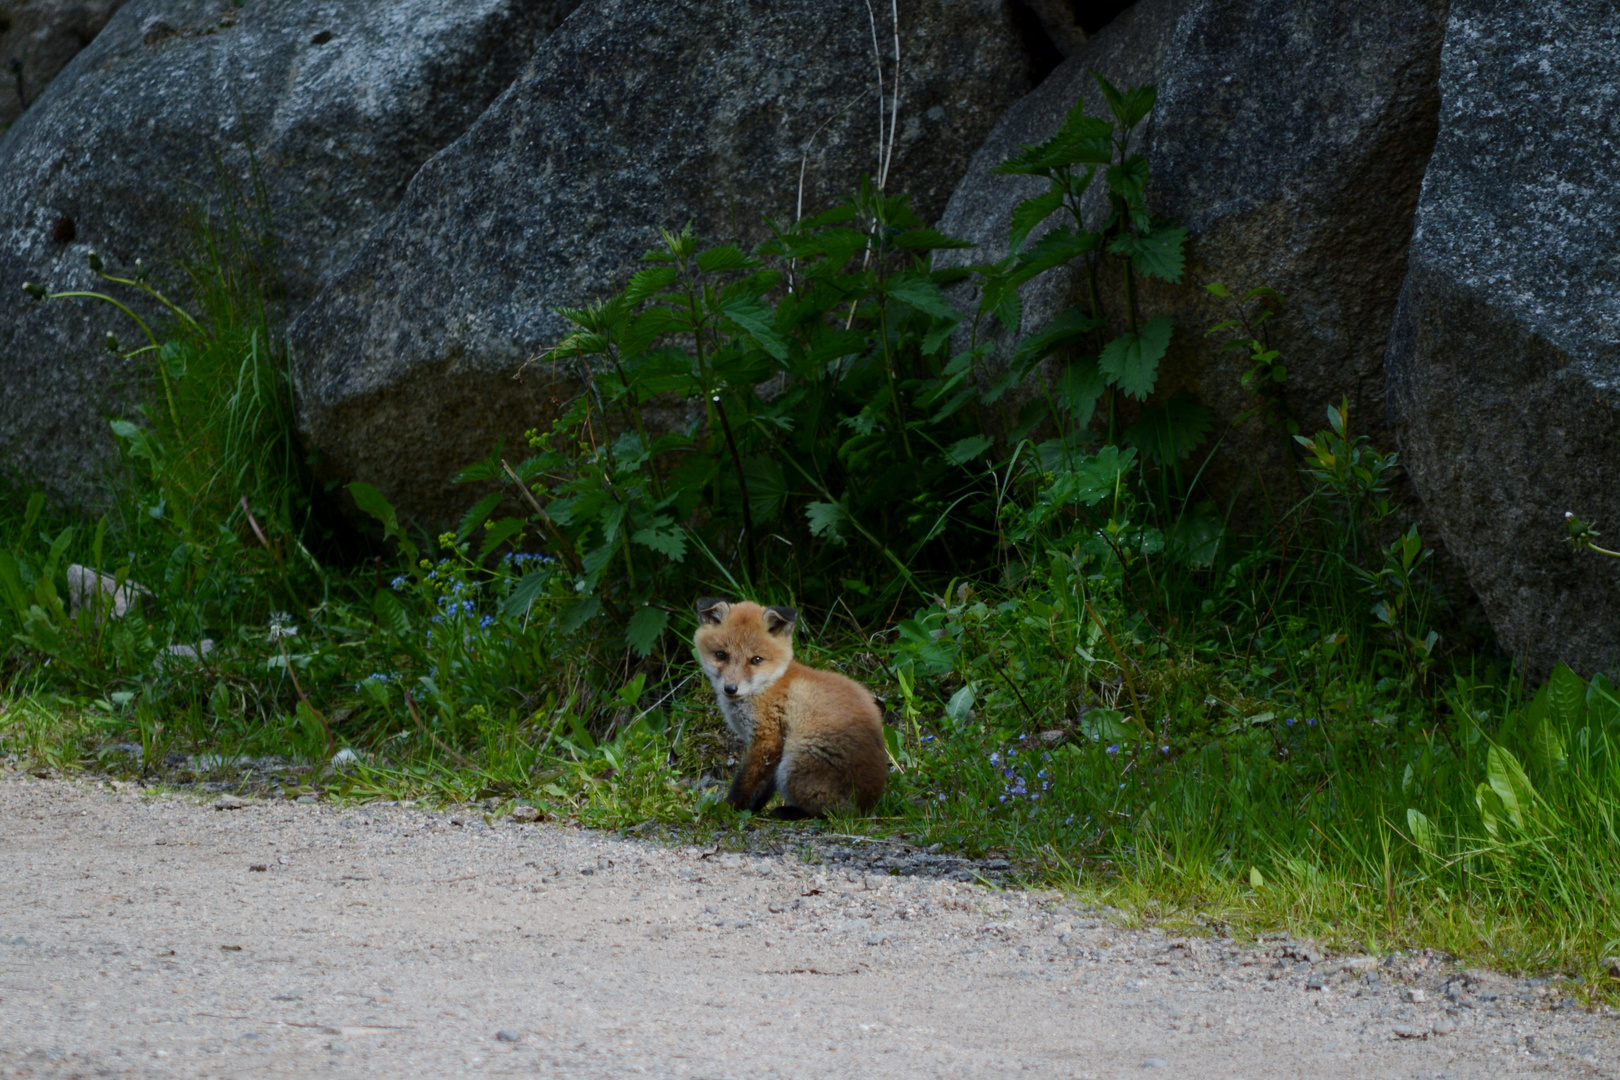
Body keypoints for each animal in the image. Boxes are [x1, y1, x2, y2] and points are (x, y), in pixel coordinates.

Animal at [693, 599, 887, 819]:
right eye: (721, 655)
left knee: (832, 813)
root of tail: (869, 805)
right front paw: (750, 810)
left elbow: (744, 783)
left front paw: (728, 810)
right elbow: (761, 789)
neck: (769, 685)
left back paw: (790, 811)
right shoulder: (773, 752)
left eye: (756, 660)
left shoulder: (768, 739)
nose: (731, 688)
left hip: (791, 767)